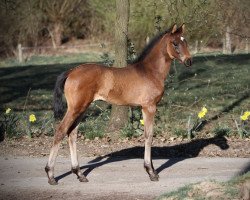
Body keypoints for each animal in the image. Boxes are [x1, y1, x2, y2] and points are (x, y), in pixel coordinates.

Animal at [46, 23, 192, 184]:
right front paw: (151, 172)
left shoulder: (145, 108)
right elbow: (149, 136)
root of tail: (71, 72)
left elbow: (147, 135)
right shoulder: (149, 107)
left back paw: (79, 174)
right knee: (60, 131)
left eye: (185, 41)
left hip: (82, 109)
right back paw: (51, 175)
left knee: (72, 133)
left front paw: (153, 170)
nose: (189, 61)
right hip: (75, 108)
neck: (150, 71)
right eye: (175, 43)